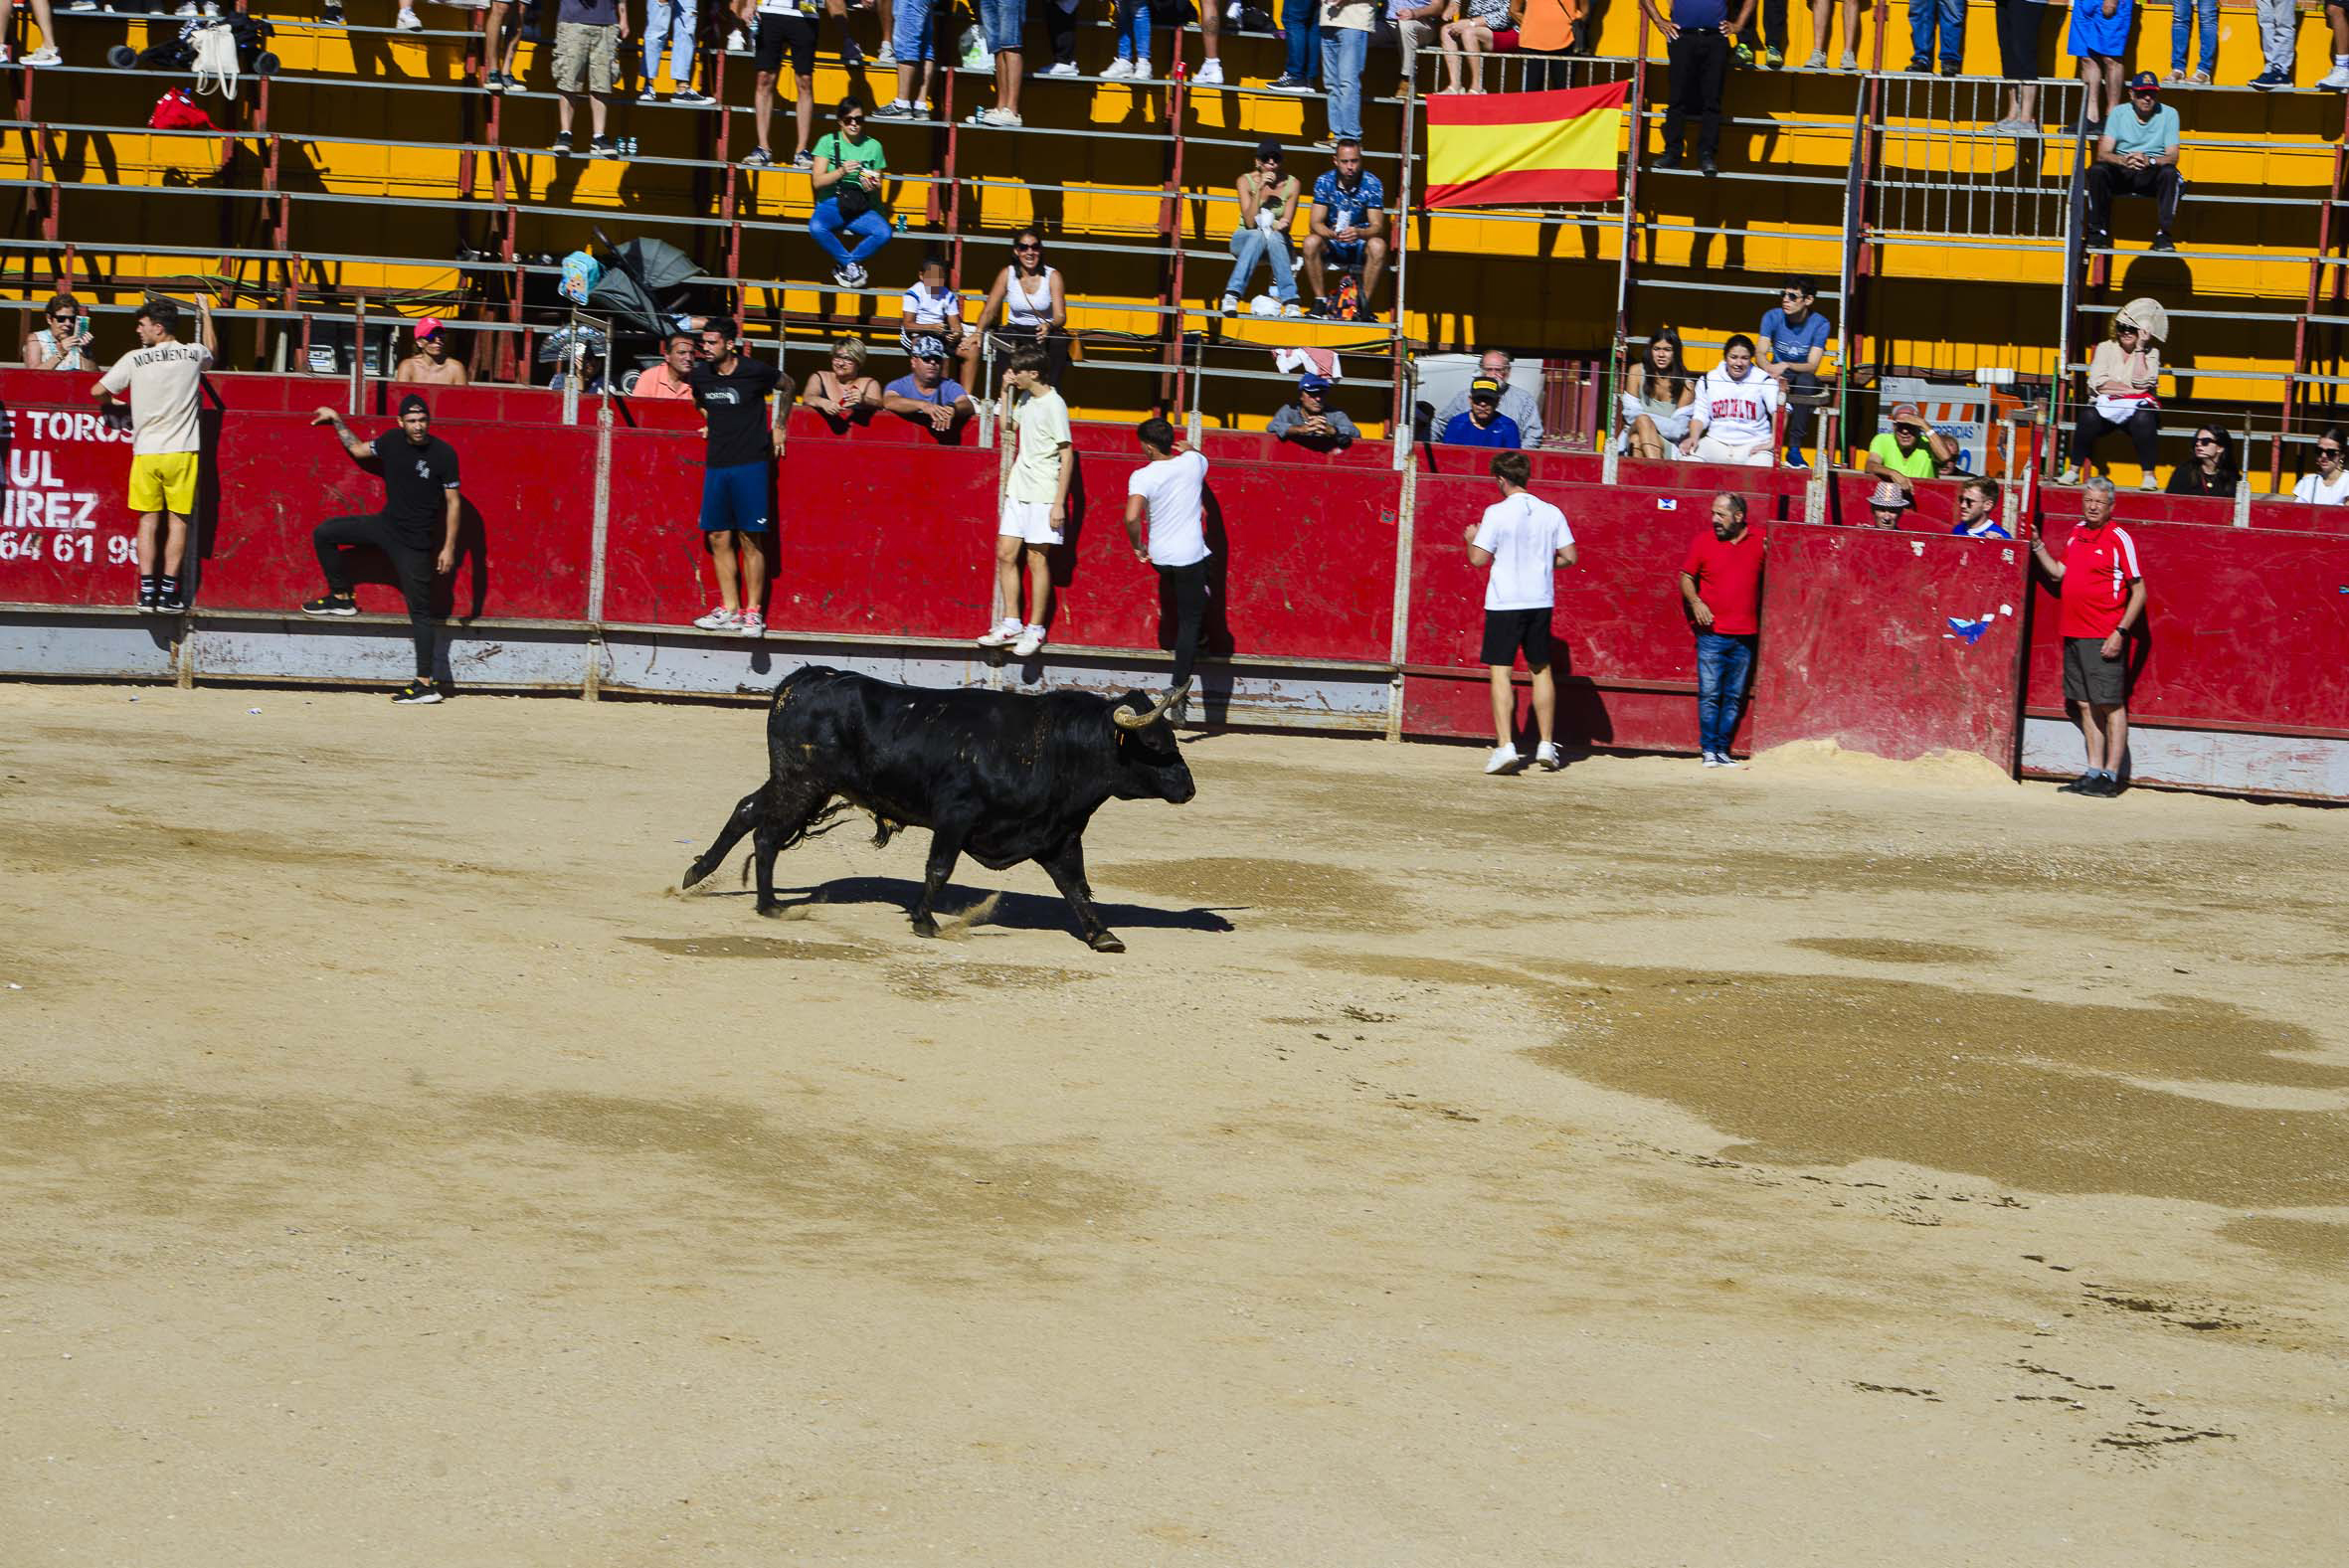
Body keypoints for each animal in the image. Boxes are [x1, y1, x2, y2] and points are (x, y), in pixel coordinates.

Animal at [680, 666, 1192, 948]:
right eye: (1153, 743)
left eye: (1172, 738)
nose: (1189, 789)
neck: (1050, 748)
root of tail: (801, 679)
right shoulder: (955, 818)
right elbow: (938, 869)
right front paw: (924, 922)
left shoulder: (1058, 836)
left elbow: (1077, 887)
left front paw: (1102, 935)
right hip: (803, 783)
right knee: (764, 830)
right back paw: (767, 905)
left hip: (800, 784)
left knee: (748, 810)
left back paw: (701, 876)